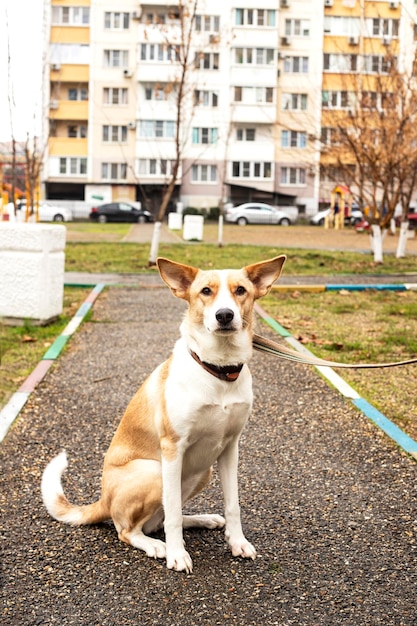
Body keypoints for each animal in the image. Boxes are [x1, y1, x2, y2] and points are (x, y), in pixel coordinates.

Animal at [40, 254, 284, 572]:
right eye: (206, 291)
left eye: (240, 290)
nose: (225, 315)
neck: (218, 370)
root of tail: (103, 500)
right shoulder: (172, 448)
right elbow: (172, 515)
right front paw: (177, 554)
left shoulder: (231, 447)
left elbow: (232, 504)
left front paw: (238, 542)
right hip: (154, 471)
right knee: (129, 529)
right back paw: (157, 546)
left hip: (203, 471)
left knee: (160, 519)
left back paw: (204, 519)